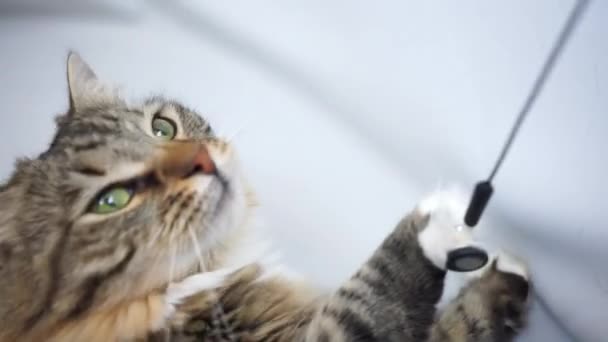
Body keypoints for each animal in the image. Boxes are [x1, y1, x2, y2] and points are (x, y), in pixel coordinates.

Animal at [0, 53, 528, 342]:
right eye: (112, 200)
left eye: (161, 128)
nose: (202, 160)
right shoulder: (328, 333)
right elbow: (378, 288)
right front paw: (443, 221)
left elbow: (467, 321)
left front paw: (508, 276)